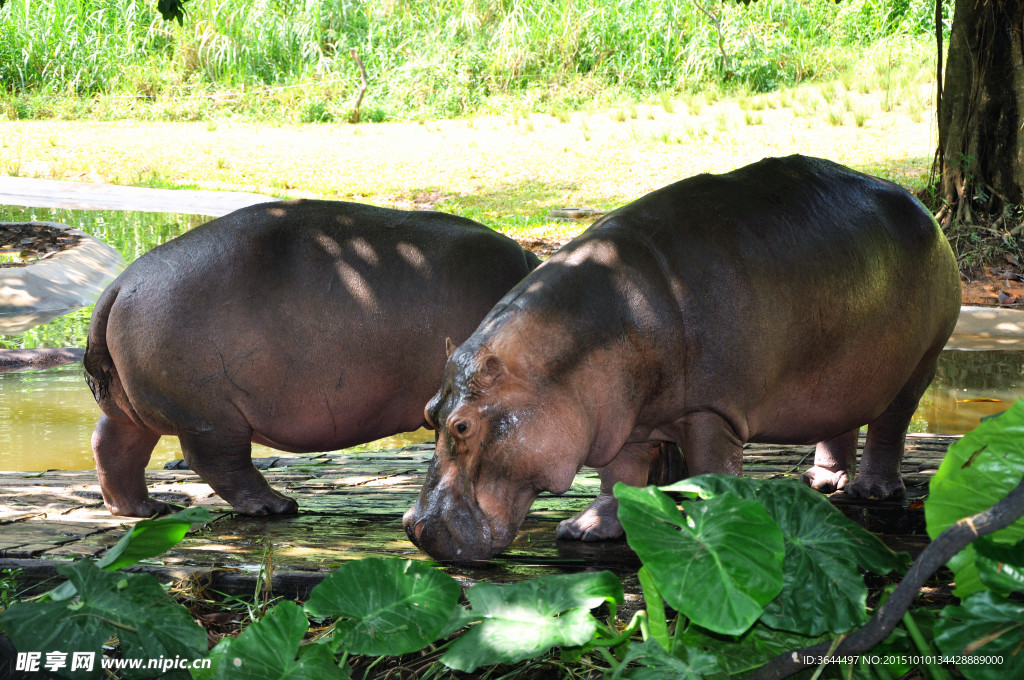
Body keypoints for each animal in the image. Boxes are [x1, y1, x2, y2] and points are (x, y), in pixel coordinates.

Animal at [86, 199, 544, 518]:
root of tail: (120, 283)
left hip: (134, 407)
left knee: (112, 444)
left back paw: (144, 509)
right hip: (210, 415)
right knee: (219, 463)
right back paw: (276, 506)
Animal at [403, 155, 962, 561]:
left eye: (462, 426)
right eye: (429, 413)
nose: (415, 529)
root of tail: (924, 211)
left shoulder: (711, 412)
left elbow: (712, 469)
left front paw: (717, 526)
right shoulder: (624, 420)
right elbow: (618, 478)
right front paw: (588, 531)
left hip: (921, 364)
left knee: (891, 424)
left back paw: (873, 492)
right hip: (842, 370)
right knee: (841, 419)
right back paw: (823, 481)